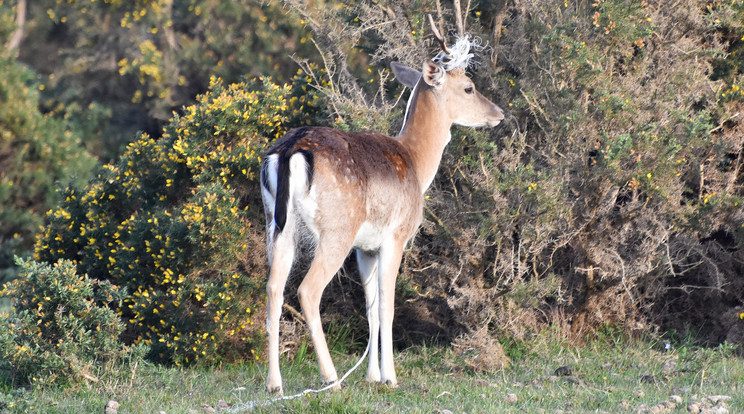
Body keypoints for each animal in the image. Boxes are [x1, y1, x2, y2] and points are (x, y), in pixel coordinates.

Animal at [258, 11, 506, 396]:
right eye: (468, 87)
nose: (499, 113)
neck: (417, 162)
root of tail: (288, 152)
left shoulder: (366, 248)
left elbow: (371, 308)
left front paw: (372, 375)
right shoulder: (396, 235)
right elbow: (387, 307)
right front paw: (390, 377)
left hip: (277, 224)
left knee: (273, 289)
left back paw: (275, 385)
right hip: (336, 229)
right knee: (307, 290)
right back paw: (331, 379)